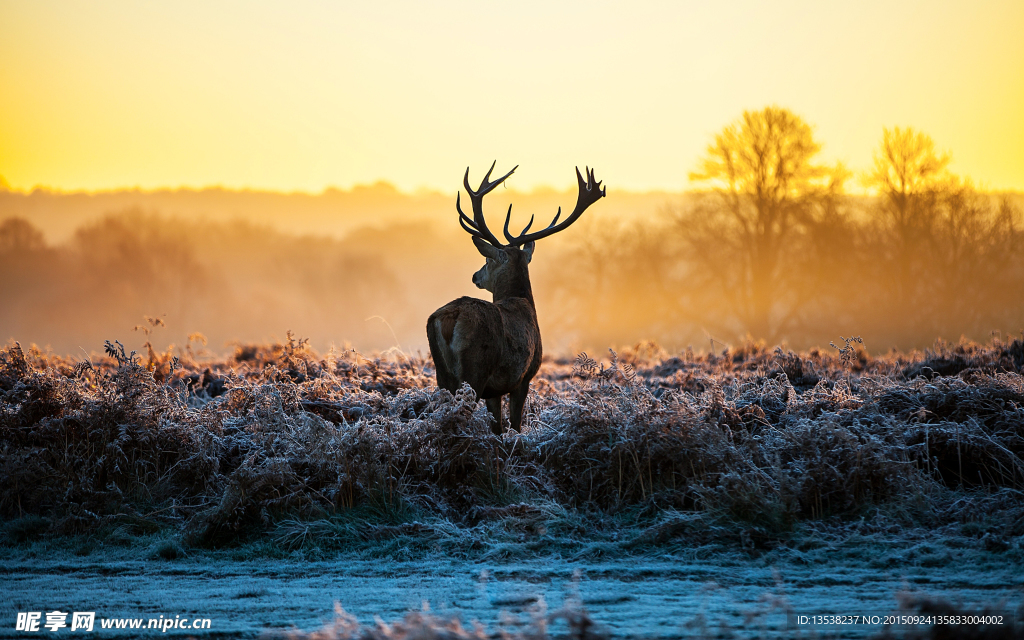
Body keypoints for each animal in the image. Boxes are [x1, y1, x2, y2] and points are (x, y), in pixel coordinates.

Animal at [425, 160, 602, 434]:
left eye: (487, 261)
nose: (475, 276)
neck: (523, 302)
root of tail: (449, 318)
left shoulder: (495, 390)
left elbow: (497, 426)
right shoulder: (524, 376)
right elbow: (515, 424)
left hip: (442, 374)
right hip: (475, 369)